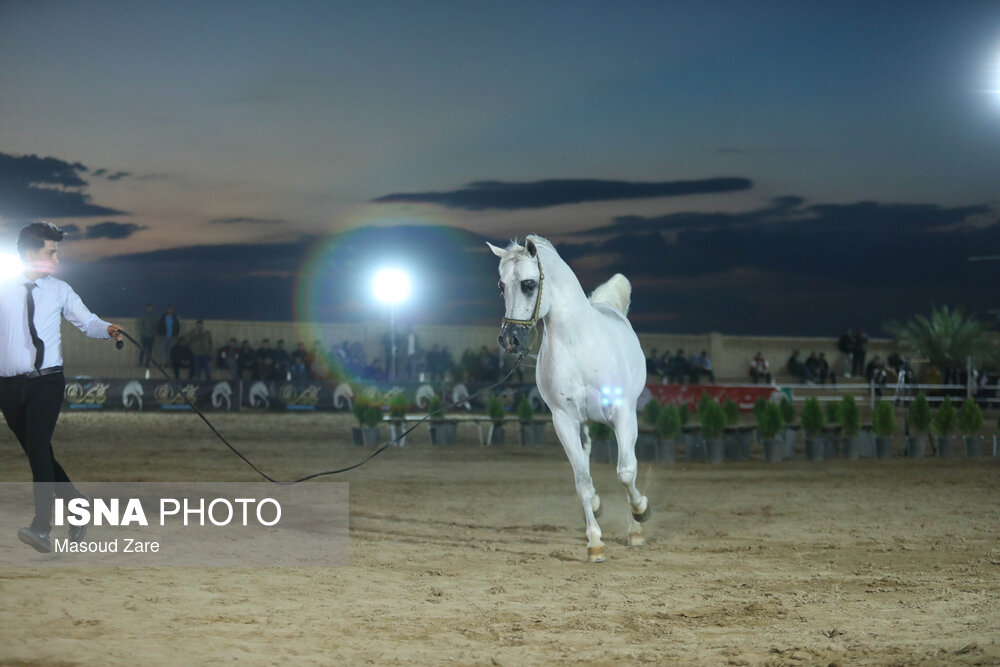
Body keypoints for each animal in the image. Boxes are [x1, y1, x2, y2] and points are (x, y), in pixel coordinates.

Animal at [490, 235, 648, 564]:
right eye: (501, 285)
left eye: (528, 284)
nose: (510, 339)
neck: (579, 344)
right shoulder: (564, 420)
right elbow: (583, 482)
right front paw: (595, 543)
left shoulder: (623, 415)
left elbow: (626, 472)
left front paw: (641, 513)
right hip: (583, 423)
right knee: (586, 460)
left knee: (629, 466)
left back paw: (636, 529)